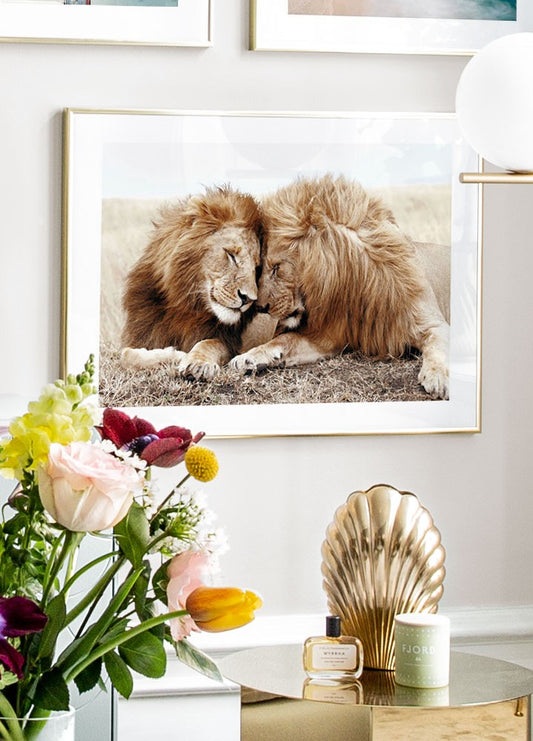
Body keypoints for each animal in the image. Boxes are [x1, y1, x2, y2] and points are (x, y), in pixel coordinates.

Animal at [120, 185, 262, 381]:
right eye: (231, 255)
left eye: (257, 268)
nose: (249, 299)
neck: (185, 305)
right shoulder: (141, 335)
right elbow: (126, 355)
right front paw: (174, 355)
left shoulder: (228, 341)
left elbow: (209, 343)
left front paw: (197, 363)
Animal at [230, 174, 450, 399]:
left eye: (276, 267)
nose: (259, 307)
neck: (354, 283)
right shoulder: (327, 337)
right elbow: (285, 340)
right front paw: (249, 357)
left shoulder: (433, 323)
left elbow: (439, 347)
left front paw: (438, 377)